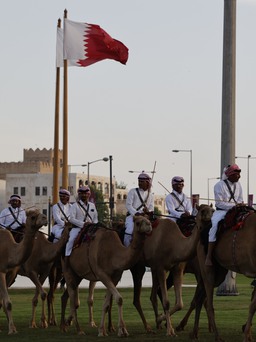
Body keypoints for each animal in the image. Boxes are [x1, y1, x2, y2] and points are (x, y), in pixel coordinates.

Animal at [196, 206, 256, 342]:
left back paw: (193, 334)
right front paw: (246, 336)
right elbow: (253, 305)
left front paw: (247, 333)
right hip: (208, 270)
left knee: (201, 297)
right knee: (209, 303)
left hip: (219, 273)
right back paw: (217, 336)